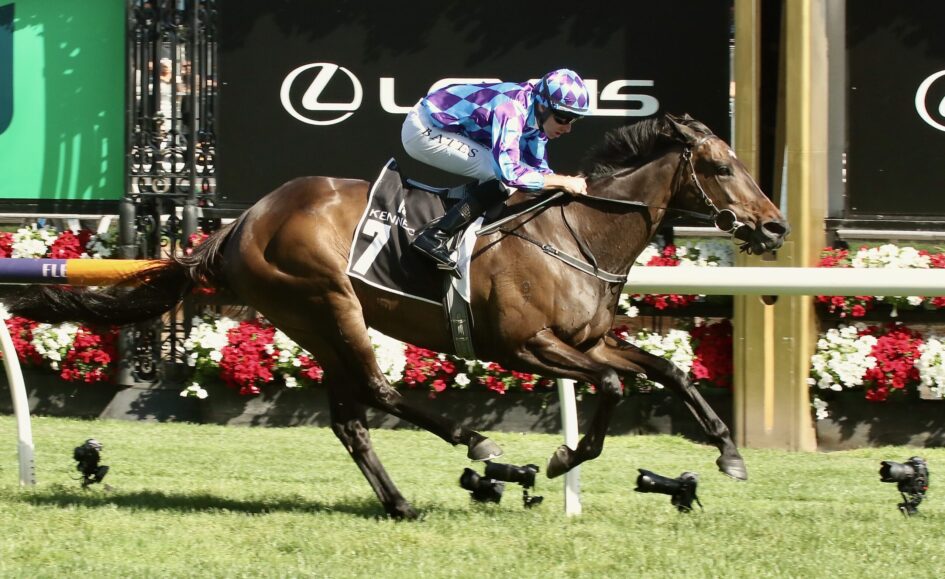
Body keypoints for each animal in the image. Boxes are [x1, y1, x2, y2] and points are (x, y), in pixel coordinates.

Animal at [9, 113, 789, 519]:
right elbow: (615, 385)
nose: (775, 227)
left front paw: (728, 453)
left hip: (312, 323)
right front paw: (561, 455)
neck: (578, 234)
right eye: (721, 167)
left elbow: (664, 370)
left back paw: (400, 501)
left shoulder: (588, 339)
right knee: (378, 392)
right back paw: (475, 442)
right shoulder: (525, 345)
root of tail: (238, 224)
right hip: (325, 300)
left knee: (350, 418)